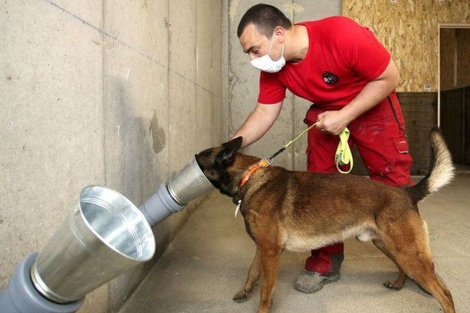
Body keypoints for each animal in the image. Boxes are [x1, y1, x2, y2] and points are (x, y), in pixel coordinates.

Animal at [195, 127, 456, 312]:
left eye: (198, 159)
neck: (249, 177)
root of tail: (407, 192)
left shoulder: (270, 252)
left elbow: (266, 292)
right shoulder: (264, 248)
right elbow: (252, 272)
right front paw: (244, 291)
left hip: (406, 252)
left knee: (444, 293)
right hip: (388, 245)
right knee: (406, 269)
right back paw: (398, 284)